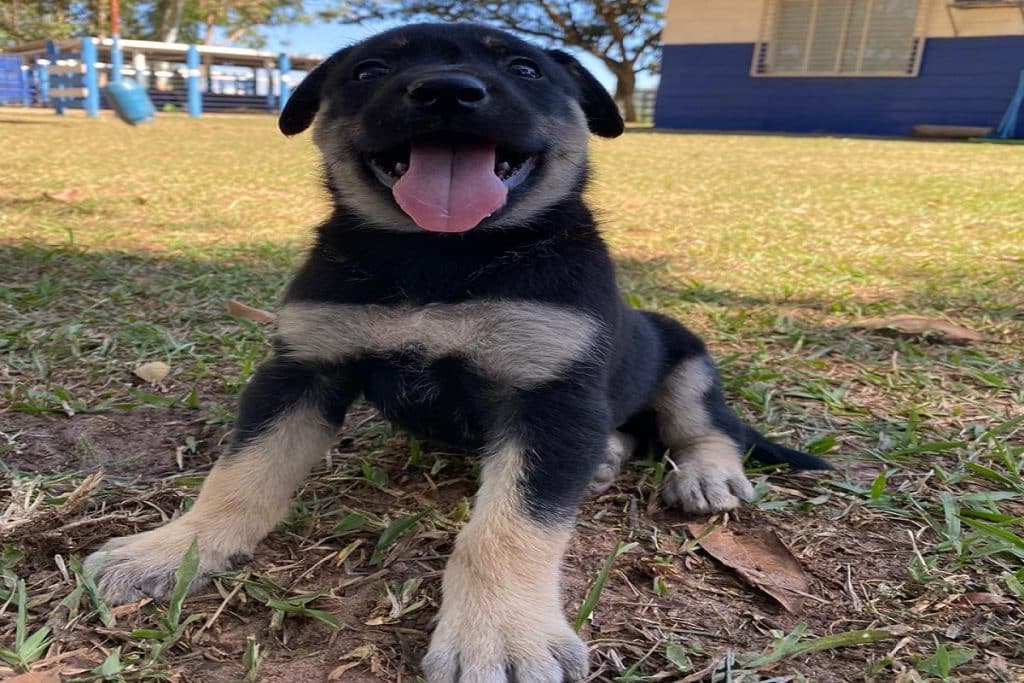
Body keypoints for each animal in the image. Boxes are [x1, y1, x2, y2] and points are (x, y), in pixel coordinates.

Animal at [86, 24, 823, 683]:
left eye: (524, 69)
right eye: (370, 69)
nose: (446, 92)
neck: (441, 255)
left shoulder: (551, 396)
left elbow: (507, 529)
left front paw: (500, 634)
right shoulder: (300, 368)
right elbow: (241, 473)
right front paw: (175, 548)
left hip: (686, 358)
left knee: (705, 426)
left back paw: (706, 474)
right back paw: (607, 458)